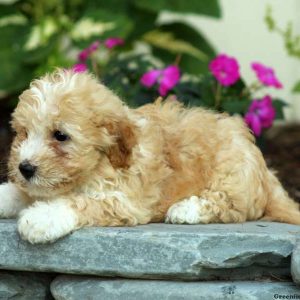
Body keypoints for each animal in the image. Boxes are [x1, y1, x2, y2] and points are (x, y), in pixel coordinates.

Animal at [0, 70, 298, 244]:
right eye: (24, 133)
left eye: (60, 135)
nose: (25, 167)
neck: (101, 163)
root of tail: (264, 170)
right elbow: (21, 192)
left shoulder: (123, 201)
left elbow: (81, 203)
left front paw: (41, 218)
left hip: (231, 176)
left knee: (230, 207)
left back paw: (185, 210)